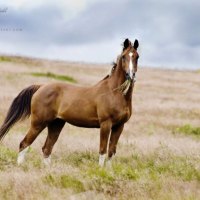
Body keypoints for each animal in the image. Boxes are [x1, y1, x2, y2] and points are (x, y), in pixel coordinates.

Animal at [0, 38, 140, 166]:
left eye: (137, 57)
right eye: (123, 57)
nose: (130, 75)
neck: (114, 91)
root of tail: (41, 87)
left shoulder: (119, 126)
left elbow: (111, 151)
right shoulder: (106, 124)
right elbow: (102, 150)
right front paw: (100, 170)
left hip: (56, 124)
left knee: (46, 148)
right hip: (38, 123)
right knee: (24, 144)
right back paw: (20, 166)